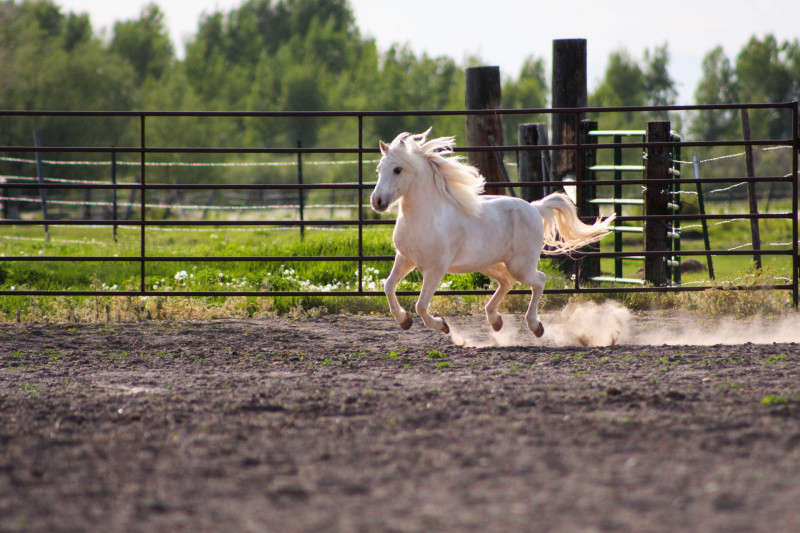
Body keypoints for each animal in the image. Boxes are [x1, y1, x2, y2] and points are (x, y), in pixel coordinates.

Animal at [372, 128, 616, 336]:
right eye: (379, 169)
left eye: (397, 169)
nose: (377, 201)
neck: (426, 217)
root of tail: (535, 208)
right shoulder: (405, 258)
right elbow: (388, 286)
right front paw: (404, 320)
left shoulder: (435, 269)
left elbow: (421, 305)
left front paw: (442, 325)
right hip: (488, 263)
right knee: (507, 282)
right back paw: (495, 321)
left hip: (520, 265)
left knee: (539, 280)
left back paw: (535, 326)